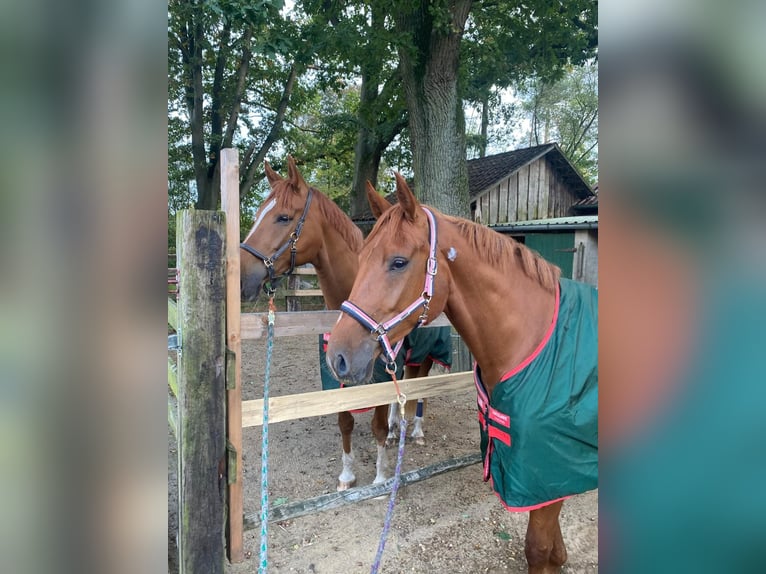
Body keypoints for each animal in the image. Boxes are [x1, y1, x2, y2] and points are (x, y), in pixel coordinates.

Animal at [240, 158, 444, 490]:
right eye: (257, 215)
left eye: (283, 217)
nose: (242, 276)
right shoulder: (338, 374)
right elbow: (345, 420)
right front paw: (347, 475)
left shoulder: (377, 371)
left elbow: (375, 423)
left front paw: (380, 477)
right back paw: (396, 429)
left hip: (425, 355)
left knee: (420, 389)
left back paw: (416, 430)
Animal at [326, 174, 600, 572]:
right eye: (360, 258)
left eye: (398, 261)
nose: (338, 356)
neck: (534, 339)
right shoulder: (547, 475)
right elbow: (550, 543)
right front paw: (561, 557)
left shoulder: (547, 468)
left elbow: (537, 547)